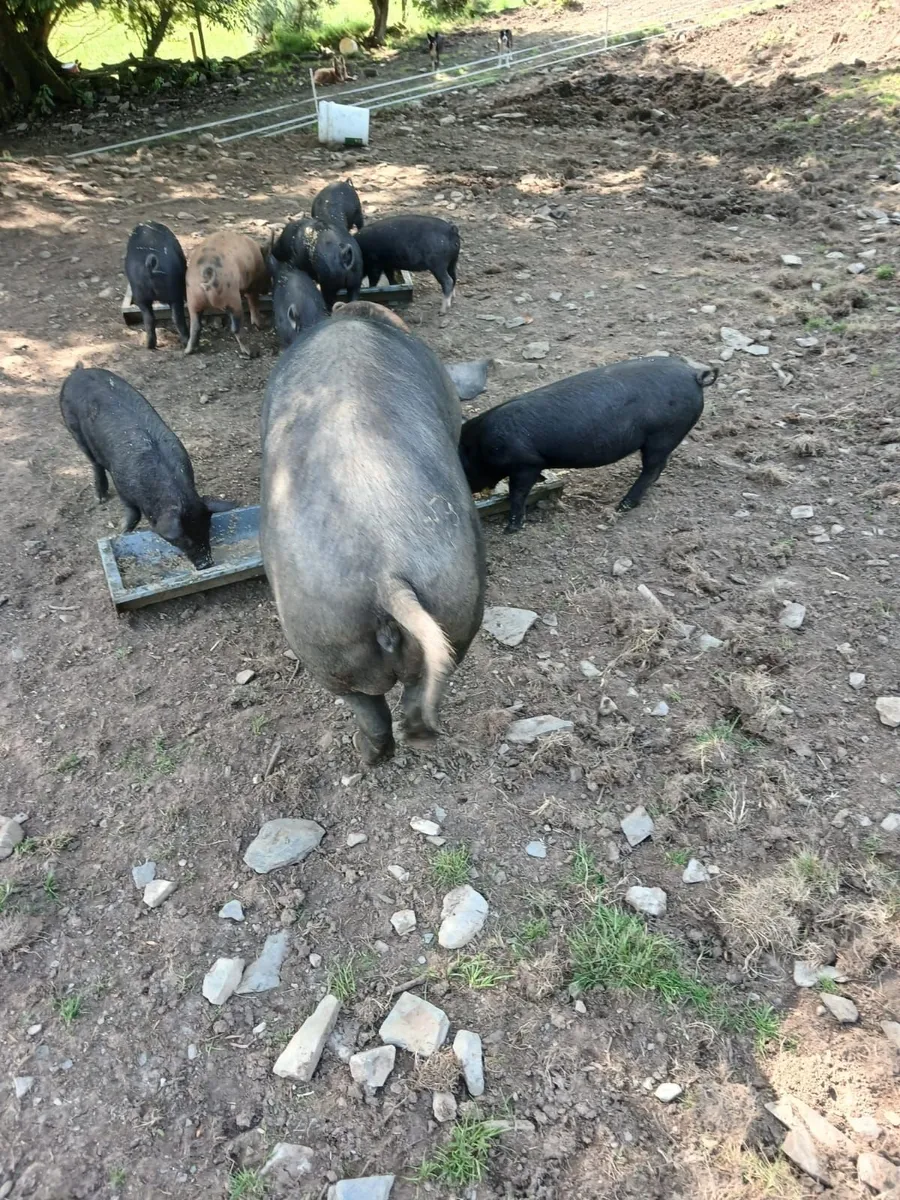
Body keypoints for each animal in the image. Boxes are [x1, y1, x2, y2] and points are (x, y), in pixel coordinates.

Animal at [59, 365, 235, 568]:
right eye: (185, 539)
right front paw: (121, 532)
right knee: (94, 462)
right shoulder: (122, 487)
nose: (206, 563)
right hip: (73, 427)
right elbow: (133, 514)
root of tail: (78, 372)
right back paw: (100, 499)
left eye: (207, 529)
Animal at [260, 316, 485, 766]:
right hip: (457, 604)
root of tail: (386, 576)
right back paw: (417, 738)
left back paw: (361, 752)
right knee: (415, 701)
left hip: (322, 644)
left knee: (367, 708)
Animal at [459, 356, 717, 533]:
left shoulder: (526, 462)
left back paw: (623, 505)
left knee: (653, 468)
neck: (480, 444)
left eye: (465, 466)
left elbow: (518, 492)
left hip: (663, 434)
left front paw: (511, 529)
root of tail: (694, 374)